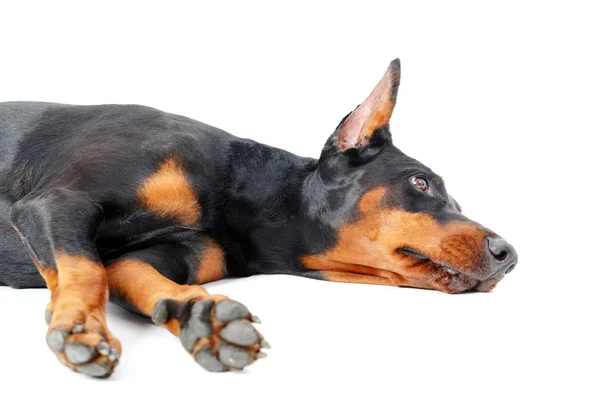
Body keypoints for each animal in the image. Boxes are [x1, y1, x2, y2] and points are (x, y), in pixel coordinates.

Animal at [0, 59, 516, 378]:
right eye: (421, 183)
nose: (508, 255)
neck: (242, 197)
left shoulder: (178, 255)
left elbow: (126, 273)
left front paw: (203, 320)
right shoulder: (57, 201)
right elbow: (86, 268)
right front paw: (80, 327)